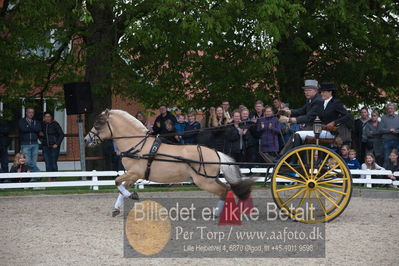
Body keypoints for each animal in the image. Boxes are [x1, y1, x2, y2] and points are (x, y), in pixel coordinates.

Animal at [84, 109, 253, 215]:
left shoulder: (135, 172)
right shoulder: (134, 175)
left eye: (98, 123)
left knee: (223, 191)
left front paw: (133, 196)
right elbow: (121, 187)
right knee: (227, 188)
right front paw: (118, 208)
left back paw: (217, 213)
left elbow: (117, 182)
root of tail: (215, 153)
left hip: (204, 181)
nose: (86, 139)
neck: (138, 145)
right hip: (210, 179)